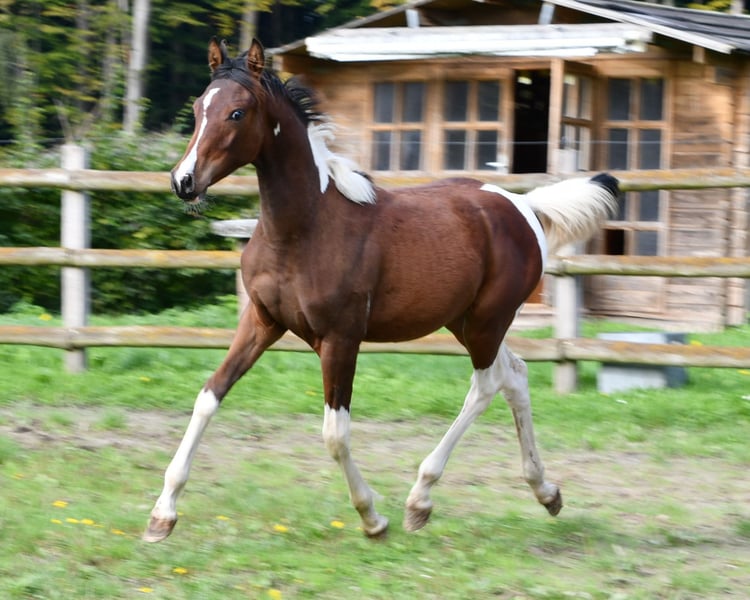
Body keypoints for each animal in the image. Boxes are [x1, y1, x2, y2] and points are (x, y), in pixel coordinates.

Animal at [143, 37, 619, 543]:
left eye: (237, 112)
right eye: (199, 107)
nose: (183, 181)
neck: (304, 228)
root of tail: (522, 205)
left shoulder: (340, 338)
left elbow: (335, 433)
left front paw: (373, 518)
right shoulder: (262, 321)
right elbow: (208, 397)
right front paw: (162, 515)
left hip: (488, 321)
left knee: (487, 384)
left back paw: (420, 499)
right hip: (466, 321)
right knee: (517, 375)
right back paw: (545, 492)